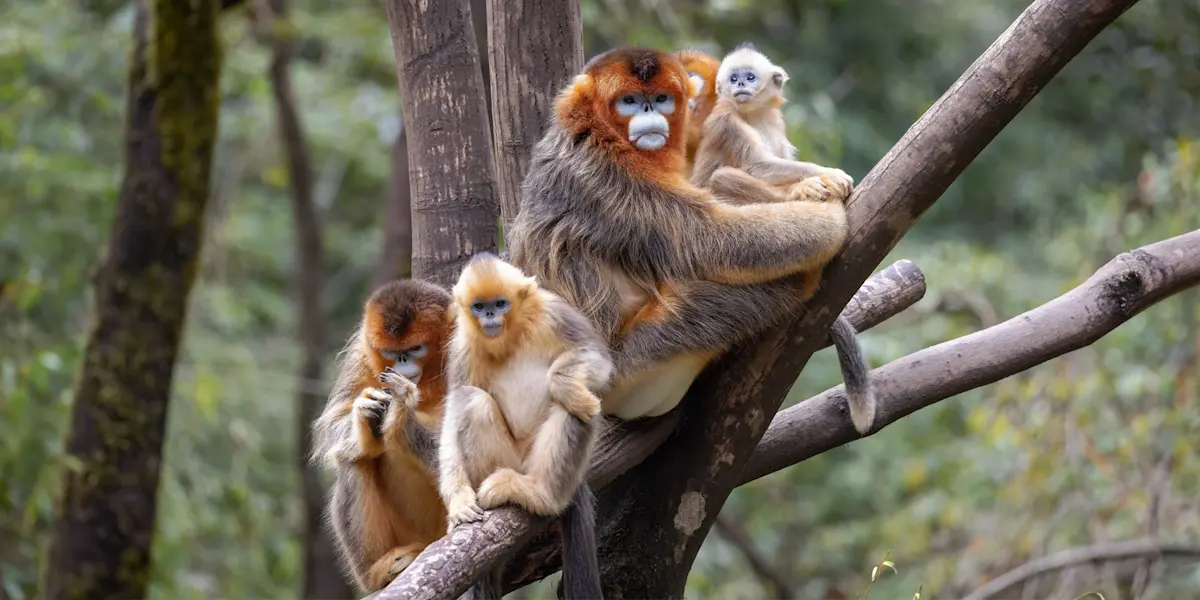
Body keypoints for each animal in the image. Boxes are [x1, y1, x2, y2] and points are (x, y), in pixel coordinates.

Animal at [310, 279, 453, 593]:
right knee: (353, 459)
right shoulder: (360, 353)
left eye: (414, 348)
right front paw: (364, 413)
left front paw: (401, 412)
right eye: (390, 352)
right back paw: (378, 572)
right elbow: (332, 426)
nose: (401, 361)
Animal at [439, 252, 607, 600]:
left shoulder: (553, 311)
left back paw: (541, 494)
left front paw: (566, 385)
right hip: (507, 458)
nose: (490, 315)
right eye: (479, 307)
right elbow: (453, 409)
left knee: (574, 408)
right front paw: (459, 500)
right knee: (472, 400)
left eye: (500, 303)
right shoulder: (462, 347)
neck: (510, 336)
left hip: (536, 460)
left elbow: (598, 359)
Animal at [506, 47, 859, 427]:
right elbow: (710, 240)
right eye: (629, 101)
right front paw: (823, 205)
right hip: (630, 368)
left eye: (661, 99)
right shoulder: (611, 174)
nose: (650, 111)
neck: (594, 128)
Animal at [687, 43, 876, 434]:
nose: (741, 86)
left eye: (749, 76)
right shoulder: (726, 122)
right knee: (726, 177)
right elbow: (758, 166)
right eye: (733, 78)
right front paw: (822, 178)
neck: (753, 115)